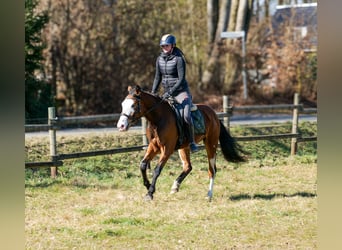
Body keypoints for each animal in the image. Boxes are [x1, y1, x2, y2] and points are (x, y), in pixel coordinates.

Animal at [117, 85, 246, 201]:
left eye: (133, 105)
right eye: (122, 105)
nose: (121, 126)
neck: (158, 118)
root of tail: (214, 114)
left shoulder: (167, 149)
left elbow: (157, 170)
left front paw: (150, 193)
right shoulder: (154, 147)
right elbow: (143, 165)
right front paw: (148, 186)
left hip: (211, 144)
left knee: (212, 170)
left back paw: (209, 195)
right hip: (184, 147)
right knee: (188, 166)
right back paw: (175, 186)